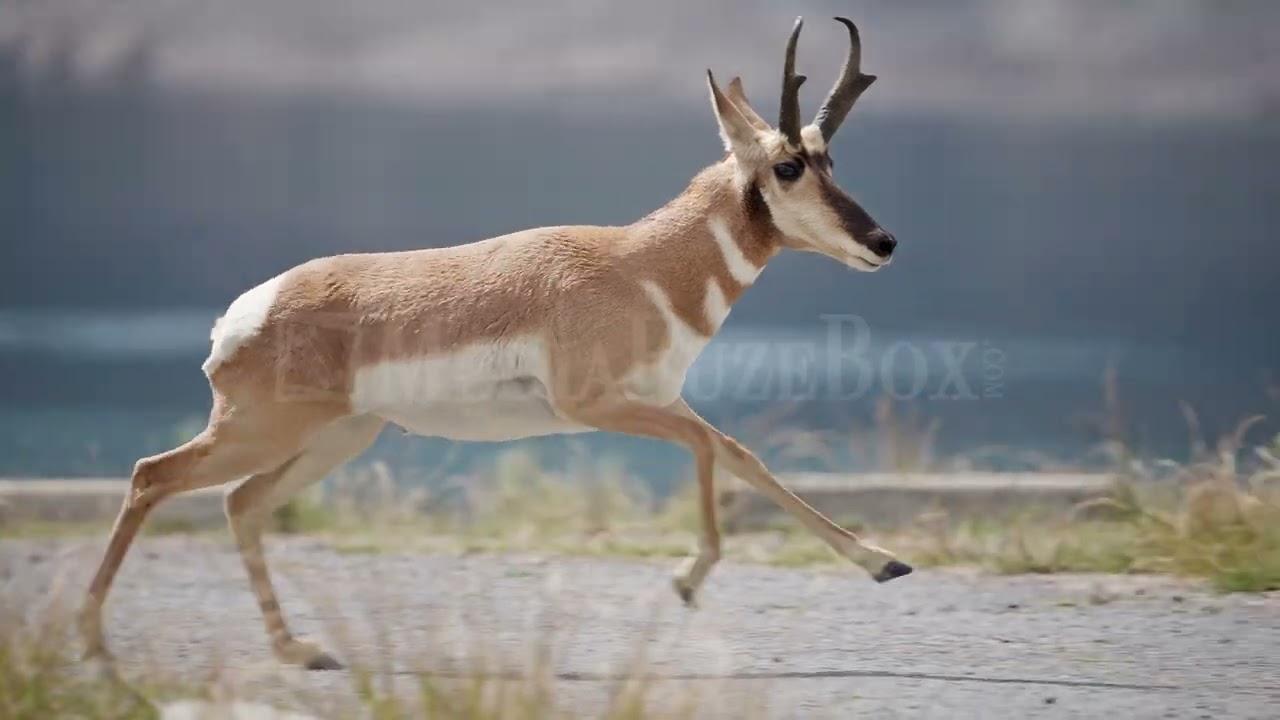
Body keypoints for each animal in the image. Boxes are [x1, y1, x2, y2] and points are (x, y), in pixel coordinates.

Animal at [79, 16, 912, 671]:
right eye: (788, 164)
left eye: (830, 158)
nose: (884, 242)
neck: (639, 264)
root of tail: (246, 312)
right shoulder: (599, 406)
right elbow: (711, 451)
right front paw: (686, 578)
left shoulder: (662, 400)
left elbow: (742, 455)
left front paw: (885, 563)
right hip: (264, 431)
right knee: (153, 476)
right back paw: (94, 644)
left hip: (334, 438)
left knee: (241, 503)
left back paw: (301, 650)